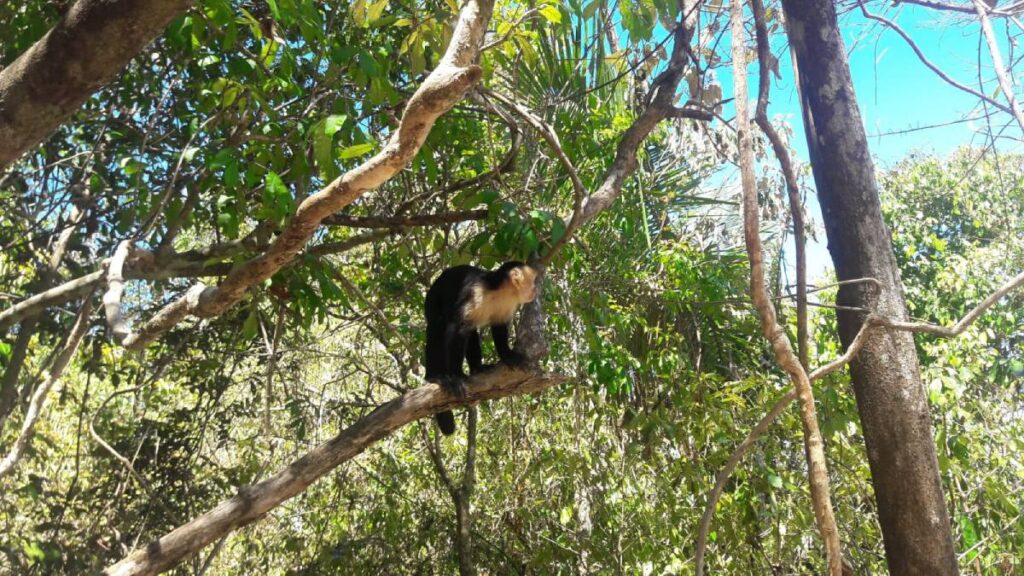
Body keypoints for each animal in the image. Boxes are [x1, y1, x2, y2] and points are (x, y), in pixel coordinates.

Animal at [423, 259, 540, 430]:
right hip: (433, 296)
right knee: (438, 327)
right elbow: (457, 328)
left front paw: (508, 355)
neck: (499, 291)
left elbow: (499, 327)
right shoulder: (475, 294)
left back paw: (477, 368)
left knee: (471, 333)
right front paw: (456, 376)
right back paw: (434, 376)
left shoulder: (507, 305)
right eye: (533, 281)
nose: (536, 290)